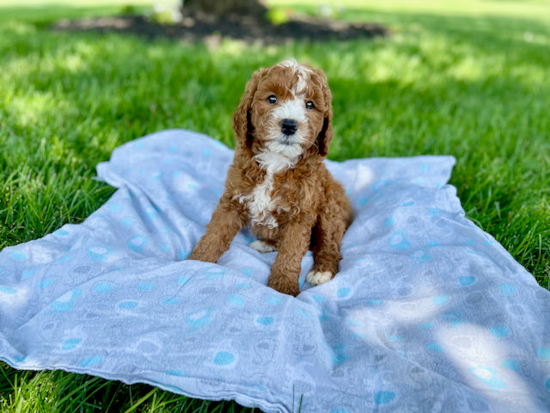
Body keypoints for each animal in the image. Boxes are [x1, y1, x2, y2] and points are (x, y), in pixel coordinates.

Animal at [190, 58, 354, 296]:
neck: (276, 160)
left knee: (329, 243)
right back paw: (265, 243)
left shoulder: (300, 215)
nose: (289, 124)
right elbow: (214, 234)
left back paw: (322, 270)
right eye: (272, 99)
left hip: (330, 207)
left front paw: (282, 289)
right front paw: (196, 263)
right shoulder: (232, 200)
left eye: (310, 105)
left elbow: (290, 254)